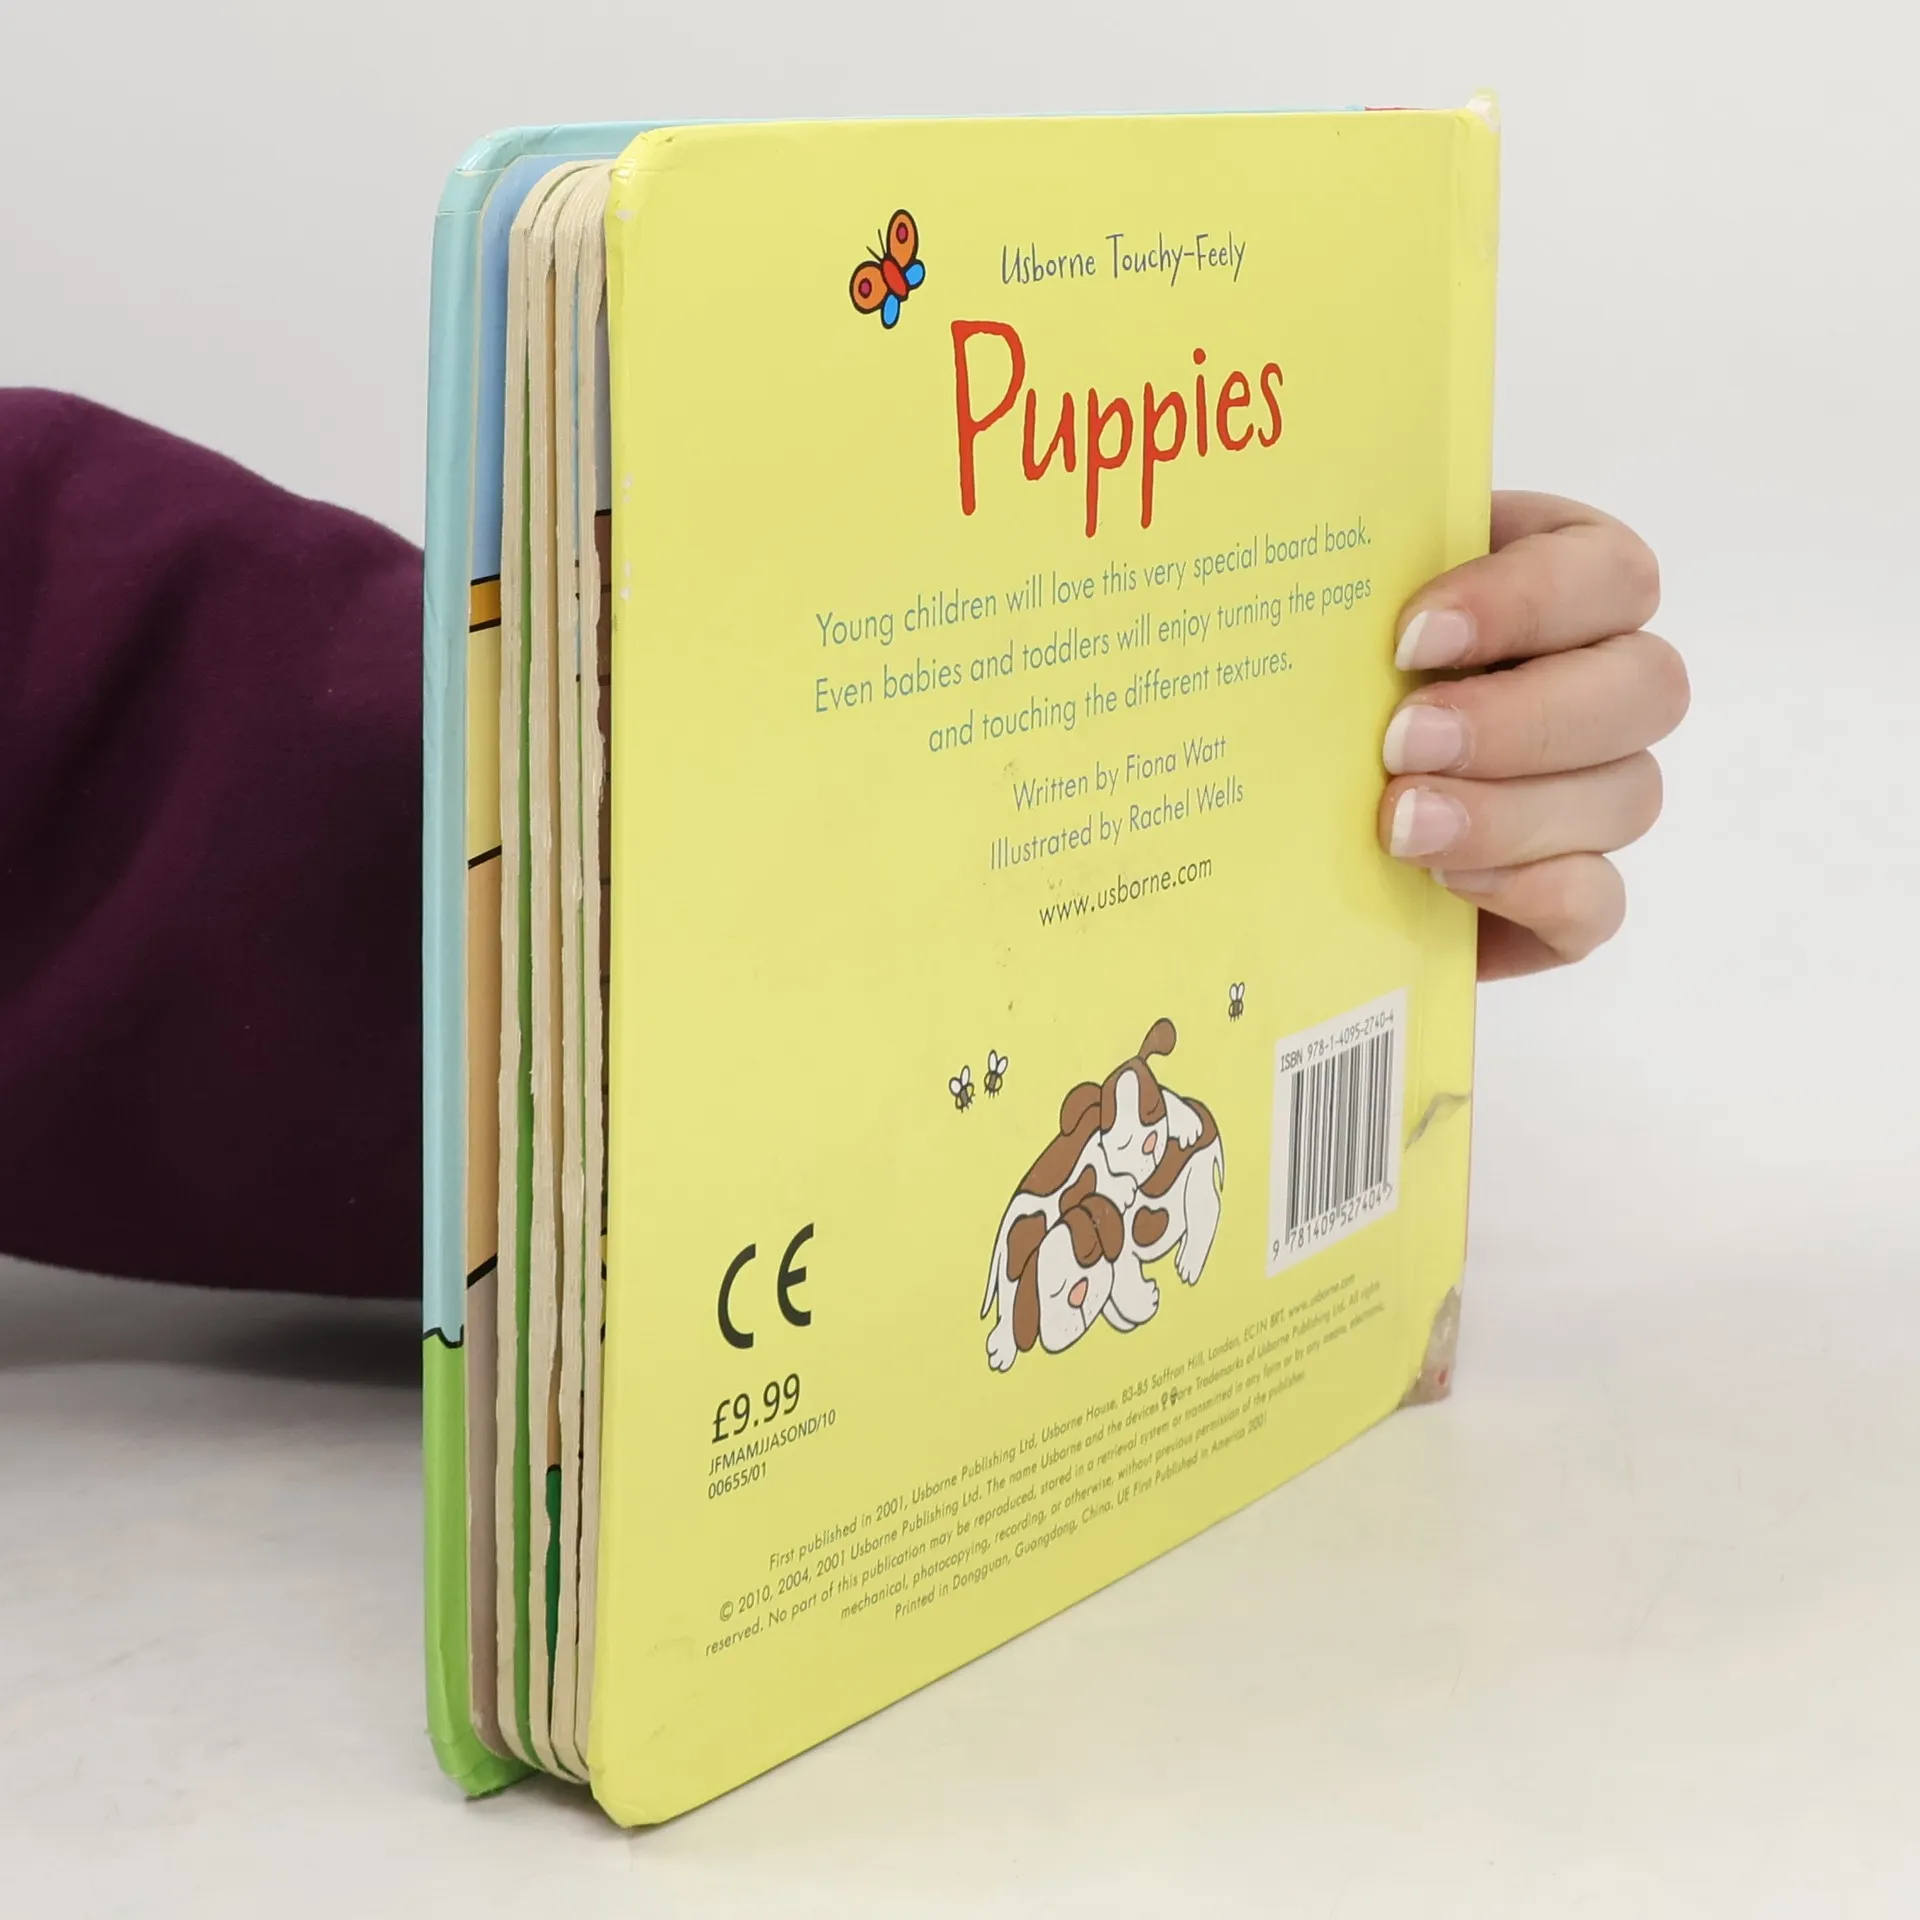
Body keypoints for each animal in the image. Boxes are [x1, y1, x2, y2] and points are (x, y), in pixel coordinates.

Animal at [983, 1019, 1226, 1371]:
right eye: (1048, 1294)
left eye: (1151, 1111)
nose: (1079, 1293)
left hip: (1198, 1174)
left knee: (1206, 1207)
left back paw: (1189, 1263)